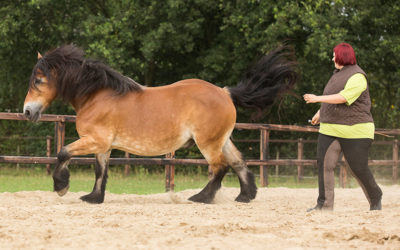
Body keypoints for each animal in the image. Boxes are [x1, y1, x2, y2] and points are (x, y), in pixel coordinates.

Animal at [21, 45, 296, 204]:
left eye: (38, 80)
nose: (27, 112)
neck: (97, 95)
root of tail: (225, 92)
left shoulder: (95, 141)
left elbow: (62, 153)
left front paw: (61, 186)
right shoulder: (103, 146)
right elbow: (100, 171)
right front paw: (93, 198)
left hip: (207, 142)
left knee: (220, 167)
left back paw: (201, 198)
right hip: (222, 139)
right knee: (239, 163)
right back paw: (245, 197)